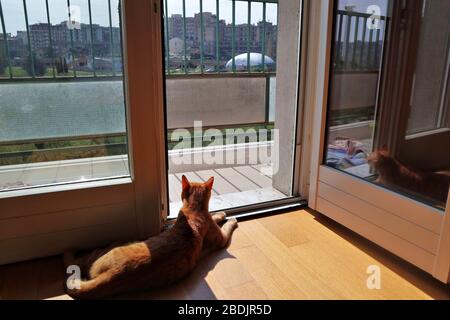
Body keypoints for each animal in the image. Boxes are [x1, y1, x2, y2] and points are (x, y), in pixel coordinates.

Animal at [65, 175, 239, 300]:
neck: (194, 210)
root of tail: (115, 273)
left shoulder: (221, 238)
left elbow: (221, 222)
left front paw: (226, 216)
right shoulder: (221, 238)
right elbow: (221, 222)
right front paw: (226, 216)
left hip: (105, 250)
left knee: (77, 261)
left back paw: (70, 253)